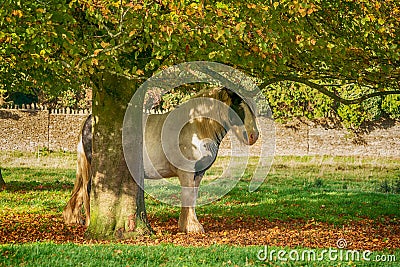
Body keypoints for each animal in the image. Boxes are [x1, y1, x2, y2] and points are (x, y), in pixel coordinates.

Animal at [63, 87, 260, 233]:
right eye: (238, 107)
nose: (254, 135)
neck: (195, 127)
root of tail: (91, 121)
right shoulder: (187, 172)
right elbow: (189, 197)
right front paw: (193, 227)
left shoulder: (197, 174)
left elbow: (192, 197)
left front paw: (185, 225)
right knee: (88, 191)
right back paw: (89, 222)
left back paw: (74, 218)